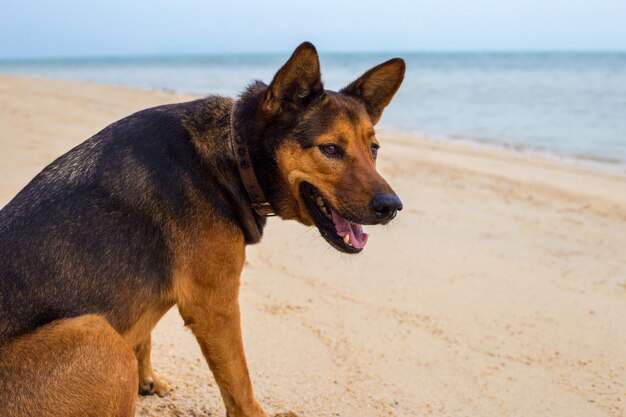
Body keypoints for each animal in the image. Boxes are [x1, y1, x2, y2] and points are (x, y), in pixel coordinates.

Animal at [0, 42, 404, 416]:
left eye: (374, 149)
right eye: (331, 149)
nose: (392, 207)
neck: (235, 152)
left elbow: (146, 337)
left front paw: (148, 378)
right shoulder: (216, 306)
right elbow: (239, 385)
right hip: (101, 341)